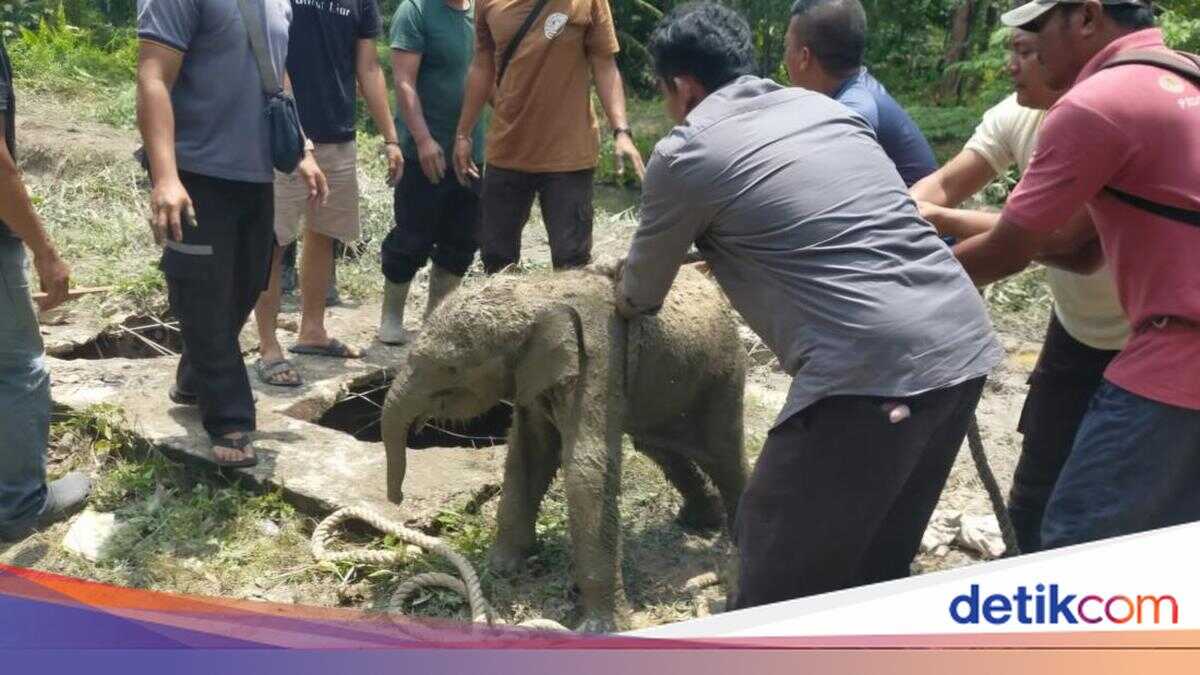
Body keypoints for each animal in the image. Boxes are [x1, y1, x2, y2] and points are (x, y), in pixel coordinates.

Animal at [380, 266, 747, 631]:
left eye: (451, 370)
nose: (397, 499)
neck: (539, 294)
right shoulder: (532, 379)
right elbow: (529, 453)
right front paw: (501, 569)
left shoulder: (597, 361)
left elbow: (587, 470)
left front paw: (601, 629)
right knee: (656, 446)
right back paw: (699, 521)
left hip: (721, 373)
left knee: (720, 453)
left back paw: (732, 540)